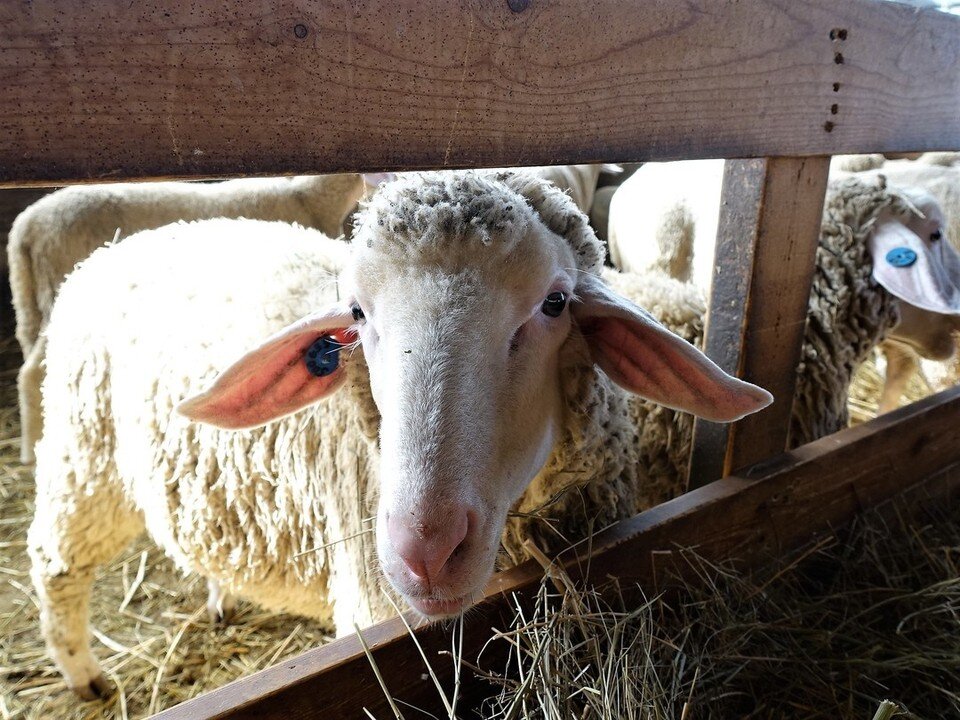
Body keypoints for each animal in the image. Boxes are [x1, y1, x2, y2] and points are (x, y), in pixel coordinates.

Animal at [6, 172, 368, 464]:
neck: (309, 196)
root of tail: (24, 228)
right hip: (55, 287)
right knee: (31, 371)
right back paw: (29, 454)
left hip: (28, 302)